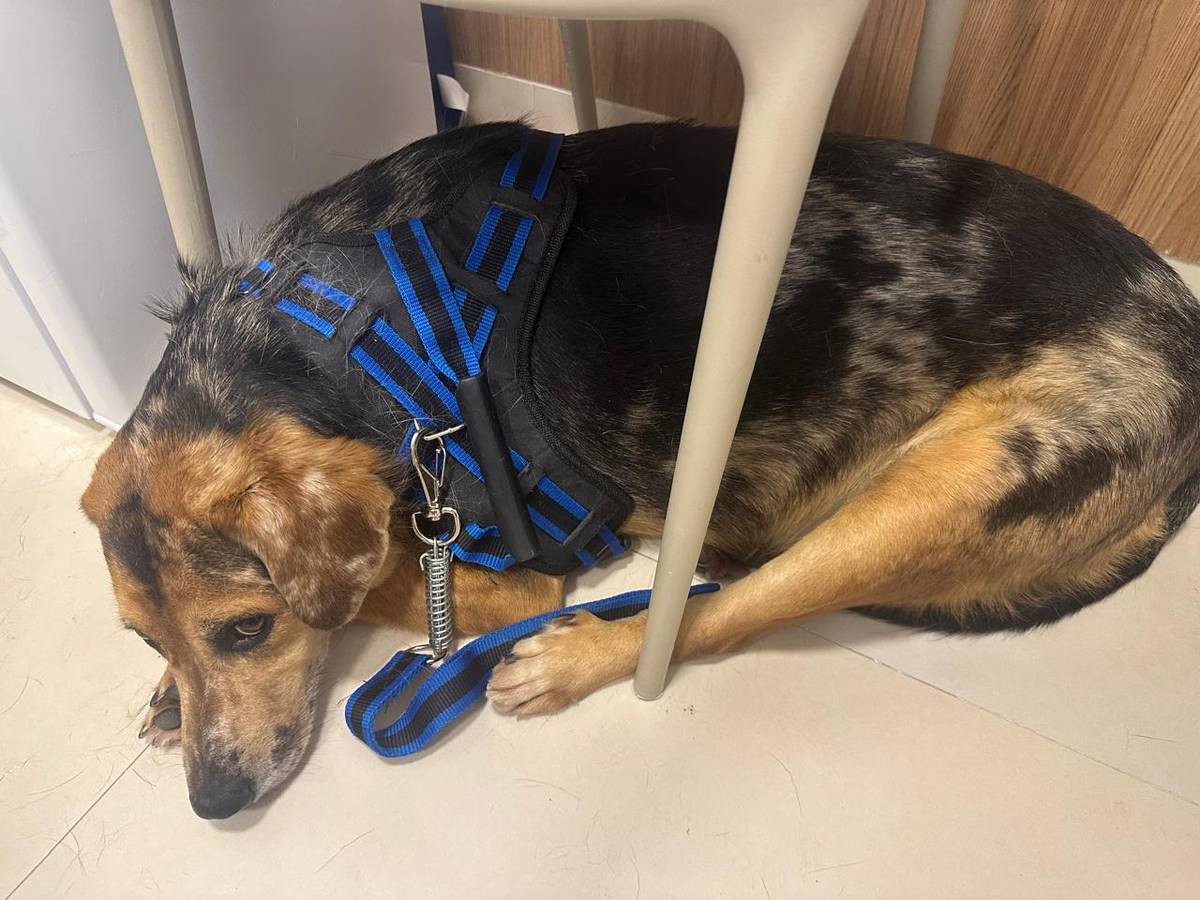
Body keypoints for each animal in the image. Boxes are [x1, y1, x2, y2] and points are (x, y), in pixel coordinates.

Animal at [81, 122, 1200, 818]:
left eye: (248, 629)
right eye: (142, 636)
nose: (213, 806)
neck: (318, 338)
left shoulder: (506, 563)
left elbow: (378, 588)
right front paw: (170, 695)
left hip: (942, 492)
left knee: (721, 614)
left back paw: (575, 657)